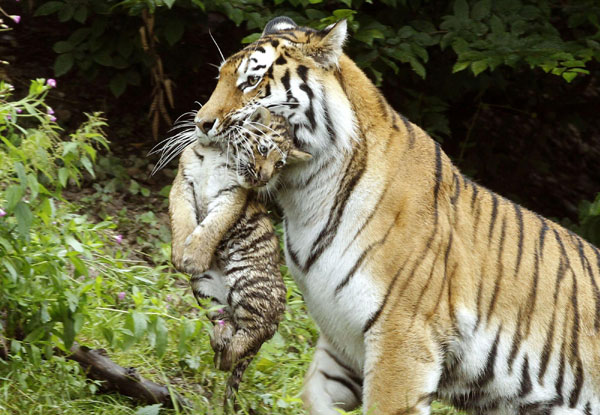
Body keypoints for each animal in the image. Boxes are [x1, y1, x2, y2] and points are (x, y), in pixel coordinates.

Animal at [186, 15, 600, 412]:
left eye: (252, 81)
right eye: (221, 77)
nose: (201, 124)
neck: (304, 196)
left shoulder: (403, 336)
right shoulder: (343, 338)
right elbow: (313, 395)